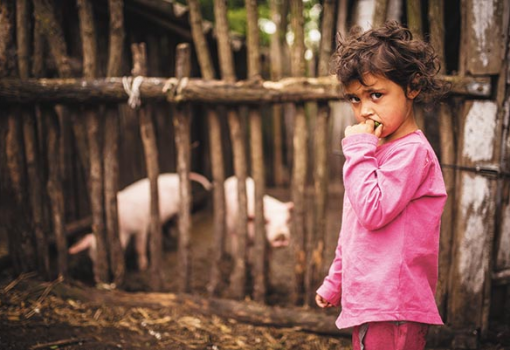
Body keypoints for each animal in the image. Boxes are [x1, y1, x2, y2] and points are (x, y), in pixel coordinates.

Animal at [67, 172, 211, 270]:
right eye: (91, 256)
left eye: (103, 253)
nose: (97, 278)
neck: (122, 228)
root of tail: (176, 176)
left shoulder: (141, 227)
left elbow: (139, 247)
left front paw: (143, 267)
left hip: (183, 204)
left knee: (186, 219)